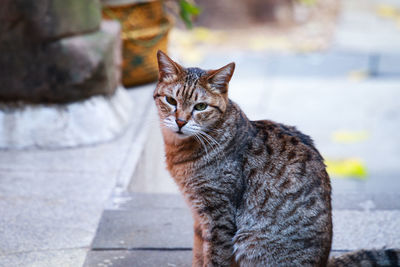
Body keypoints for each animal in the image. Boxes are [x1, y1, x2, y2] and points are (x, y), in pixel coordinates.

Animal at [153, 50, 400, 267]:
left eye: (201, 106)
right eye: (171, 101)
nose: (181, 121)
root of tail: (324, 264)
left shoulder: (219, 217)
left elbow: (214, 259)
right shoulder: (199, 218)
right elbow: (198, 255)